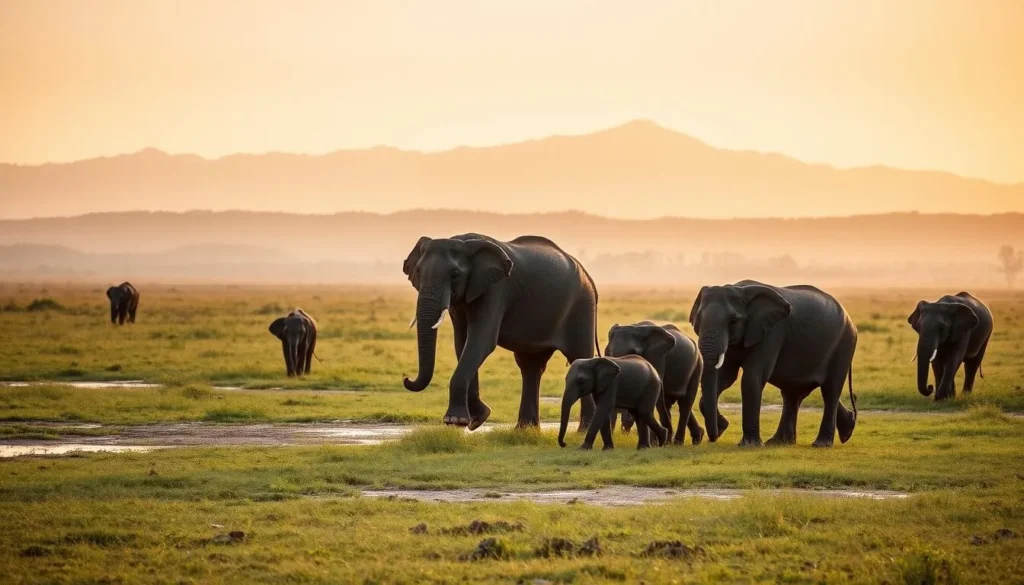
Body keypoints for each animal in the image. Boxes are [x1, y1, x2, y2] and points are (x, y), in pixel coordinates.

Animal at [402, 234, 600, 430]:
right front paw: (478, 418)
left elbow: (481, 341)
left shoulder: (496, 290)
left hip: (582, 307)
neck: (464, 242)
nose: (406, 378)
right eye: (418, 271)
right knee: (530, 365)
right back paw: (525, 430)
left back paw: (583, 430)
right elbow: (462, 342)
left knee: (578, 356)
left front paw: (456, 420)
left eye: (455, 275)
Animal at [689, 280, 858, 448]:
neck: (739, 289)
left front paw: (749, 445)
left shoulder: (772, 333)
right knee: (793, 392)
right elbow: (725, 378)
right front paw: (724, 426)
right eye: (698, 320)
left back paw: (821, 443)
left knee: (830, 390)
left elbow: (752, 378)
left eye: (733, 321)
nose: (713, 437)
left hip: (844, 345)